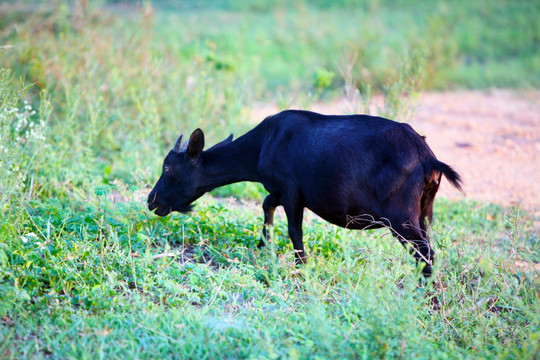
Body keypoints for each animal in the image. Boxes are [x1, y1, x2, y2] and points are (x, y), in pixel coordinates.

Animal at [150, 109, 462, 276]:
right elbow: (266, 204)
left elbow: (294, 230)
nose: (151, 201)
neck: (264, 143)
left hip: (400, 217)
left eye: (168, 168)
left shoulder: (291, 192)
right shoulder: (278, 190)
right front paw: (264, 243)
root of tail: (428, 159)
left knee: (425, 253)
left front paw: (302, 266)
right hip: (424, 211)